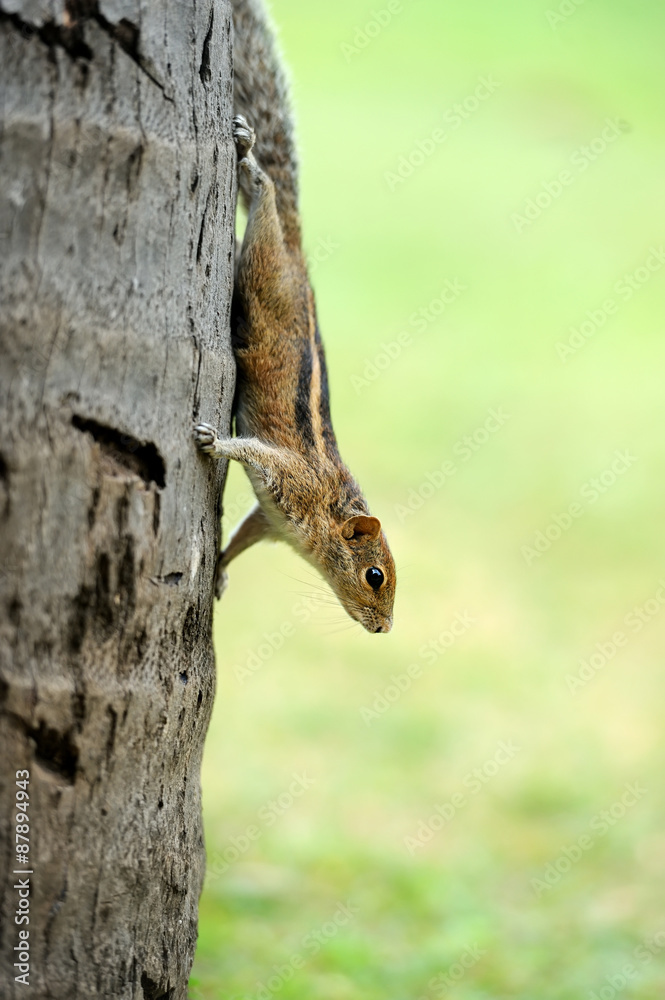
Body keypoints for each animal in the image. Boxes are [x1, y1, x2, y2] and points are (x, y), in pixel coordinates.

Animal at [195, 0, 396, 636]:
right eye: (375, 576)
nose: (383, 629)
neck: (326, 513)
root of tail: (302, 261)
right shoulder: (288, 479)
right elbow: (252, 450)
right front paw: (212, 440)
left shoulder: (270, 520)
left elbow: (239, 538)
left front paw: (220, 574)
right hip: (265, 267)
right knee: (266, 203)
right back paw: (249, 155)